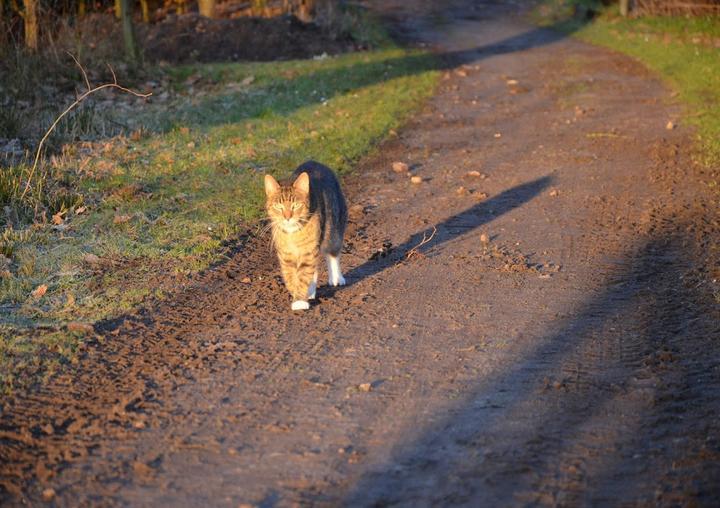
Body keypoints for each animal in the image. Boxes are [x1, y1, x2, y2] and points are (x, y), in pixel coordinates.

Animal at [264, 161, 348, 310]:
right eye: (279, 207)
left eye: (296, 205)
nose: (287, 217)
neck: (292, 233)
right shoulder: (286, 254)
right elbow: (292, 276)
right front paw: (298, 293)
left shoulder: (309, 249)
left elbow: (304, 275)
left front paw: (300, 301)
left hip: (333, 228)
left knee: (332, 253)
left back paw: (336, 278)